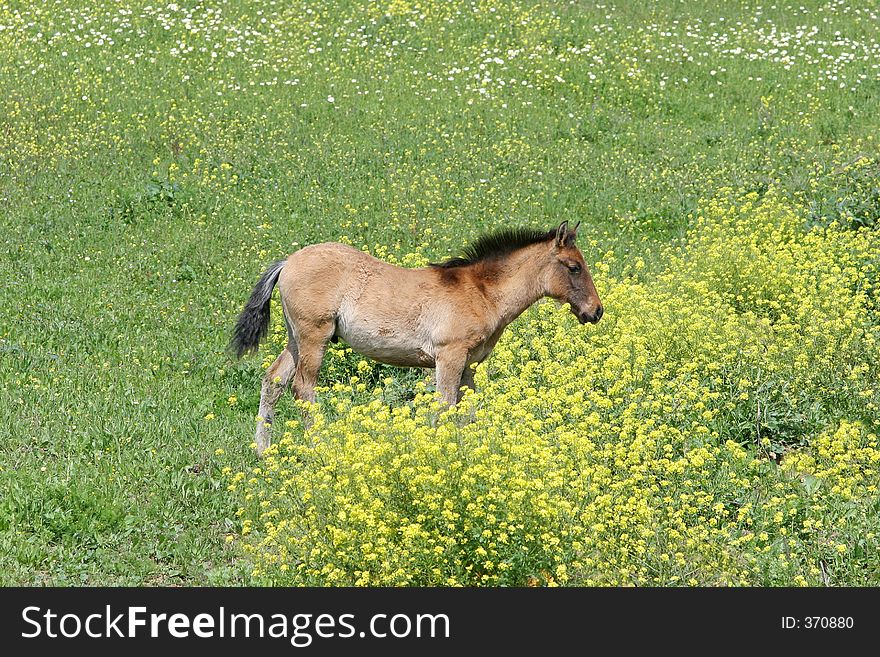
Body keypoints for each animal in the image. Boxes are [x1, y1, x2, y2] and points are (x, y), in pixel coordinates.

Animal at [232, 219, 604, 452]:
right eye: (574, 267)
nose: (596, 312)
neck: (480, 291)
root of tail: (287, 262)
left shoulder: (469, 364)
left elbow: (466, 411)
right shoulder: (449, 356)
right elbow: (444, 406)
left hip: (296, 339)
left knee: (273, 381)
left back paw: (263, 453)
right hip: (314, 338)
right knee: (302, 389)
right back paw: (319, 448)